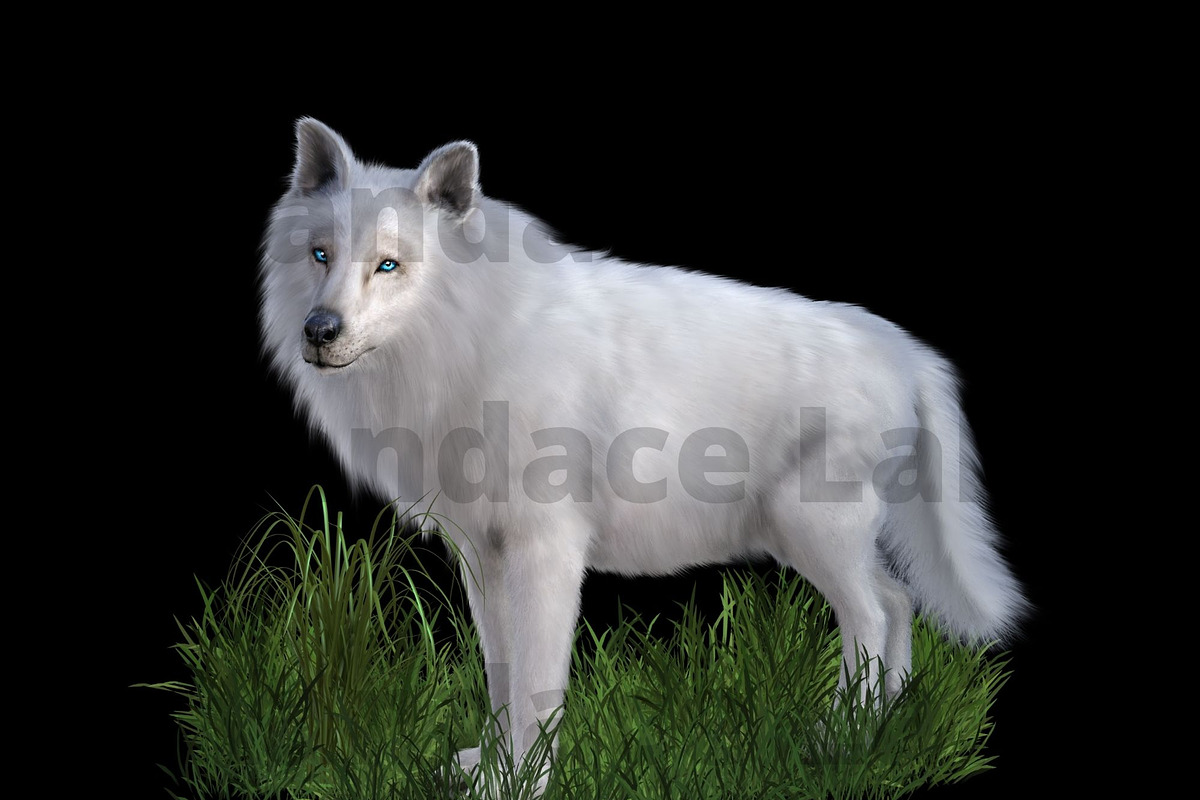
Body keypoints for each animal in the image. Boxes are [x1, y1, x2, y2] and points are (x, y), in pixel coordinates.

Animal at [259, 118, 1026, 795]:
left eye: (388, 265)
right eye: (321, 255)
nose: (320, 331)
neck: (472, 340)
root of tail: (908, 351)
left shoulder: (546, 550)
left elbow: (537, 683)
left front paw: (523, 783)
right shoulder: (482, 555)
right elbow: (501, 674)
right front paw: (488, 769)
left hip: (813, 534)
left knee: (873, 617)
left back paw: (836, 744)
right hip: (815, 540)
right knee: (899, 603)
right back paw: (875, 736)